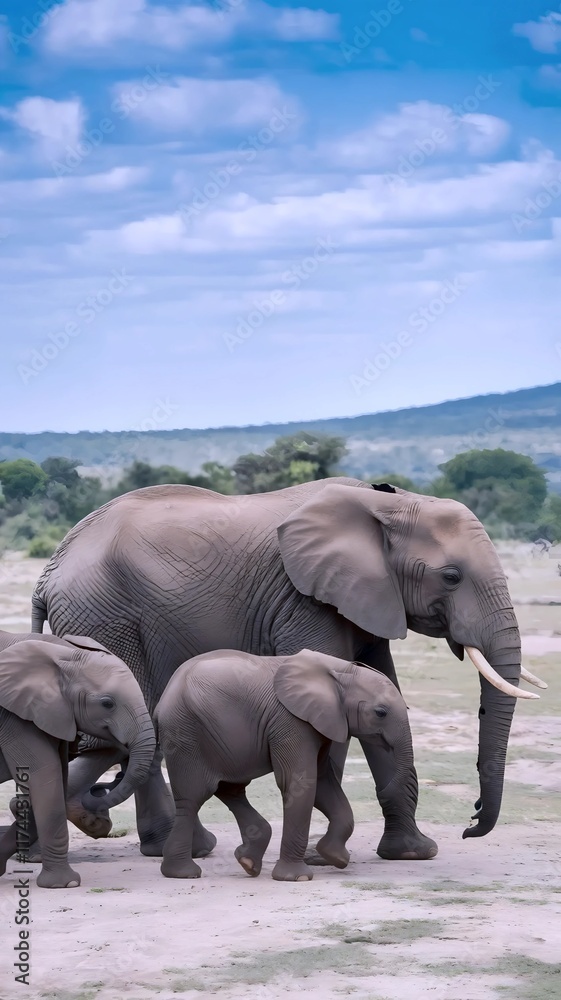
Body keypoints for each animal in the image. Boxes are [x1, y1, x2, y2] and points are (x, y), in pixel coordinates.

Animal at [0, 630, 156, 888]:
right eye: (107, 704)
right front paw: (66, 884)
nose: (117, 774)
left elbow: (56, 782)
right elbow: (45, 777)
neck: (63, 651)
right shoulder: (13, 717)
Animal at [155, 649, 416, 882]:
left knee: (230, 789)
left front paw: (336, 858)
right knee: (193, 798)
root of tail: (162, 700)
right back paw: (183, 874)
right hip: (186, 735)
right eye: (380, 712)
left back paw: (247, 862)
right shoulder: (291, 721)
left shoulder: (320, 723)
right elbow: (300, 783)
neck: (340, 671)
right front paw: (296, 877)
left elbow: (322, 782)